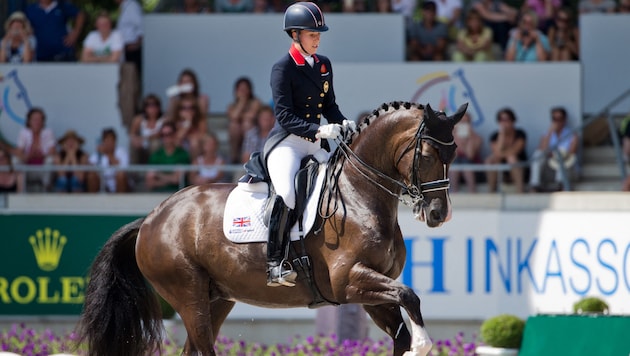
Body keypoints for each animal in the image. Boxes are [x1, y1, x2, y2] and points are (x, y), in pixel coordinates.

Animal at [76, 101, 466, 356]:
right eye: (426, 155)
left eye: (454, 153)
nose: (438, 213)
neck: (359, 193)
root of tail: (152, 218)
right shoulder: (349, 280)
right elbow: (410, 296)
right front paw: (423, 343)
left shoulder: (372, 290)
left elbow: (401, 324)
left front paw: (414, 342)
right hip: (187, 295)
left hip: (216, 298)